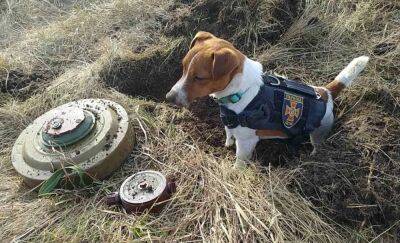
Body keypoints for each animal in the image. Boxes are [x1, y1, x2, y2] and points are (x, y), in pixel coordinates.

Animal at [166, 31, 368, 167]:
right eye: (183, 67)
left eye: (199, 77)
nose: (168, 97)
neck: (241, 91)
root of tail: (325, 92)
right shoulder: (230, 123)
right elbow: (229, 133)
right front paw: (227, 143)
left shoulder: (246, 142)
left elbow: (239, 160)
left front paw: (235, 171)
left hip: (319, 133)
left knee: (317, 145)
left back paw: (312, 157)